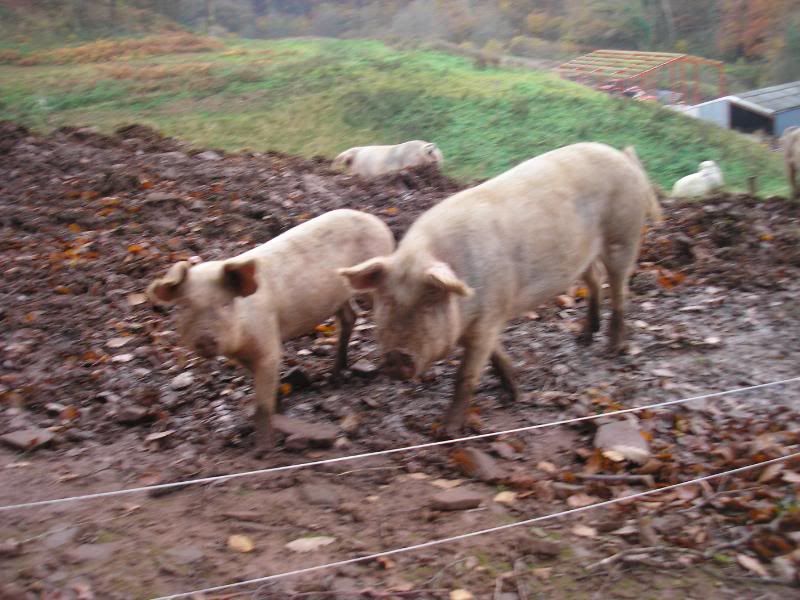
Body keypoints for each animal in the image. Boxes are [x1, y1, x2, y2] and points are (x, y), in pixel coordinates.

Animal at [145, 209, 396, 448]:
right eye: (185, 306)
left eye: (225, 304)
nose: (206, 339)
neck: (240, 343)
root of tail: (375, 220)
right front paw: (279, 407)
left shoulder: (268, 342)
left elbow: (262, 405)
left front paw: (262, 451)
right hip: (340, 296)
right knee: (350, 317)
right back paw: (336, 375)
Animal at [340, 144, 660, 436]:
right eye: (387, 301)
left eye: (429, 302)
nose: (396, 356)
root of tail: (623, 156)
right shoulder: (489, 319)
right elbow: (496, 354)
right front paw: (516, 391)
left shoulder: (489, 315)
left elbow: (466, 375)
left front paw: (447, 433)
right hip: (584, 255)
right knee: (595, 279)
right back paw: (583, 338)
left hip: (624, 234)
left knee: (619, 289)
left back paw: (612, 349)